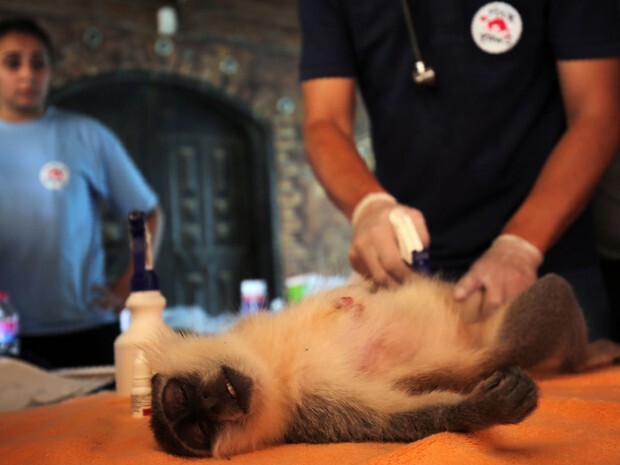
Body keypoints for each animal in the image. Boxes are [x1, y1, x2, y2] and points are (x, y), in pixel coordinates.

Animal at [144, 274, 620, 454]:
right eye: (200, 428)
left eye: (185, 395)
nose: (212, 400)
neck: (277, 368)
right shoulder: (315, 409)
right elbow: (401, 418)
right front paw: (484, 409)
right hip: (491, 343)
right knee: (524, 326)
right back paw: (586, 356)